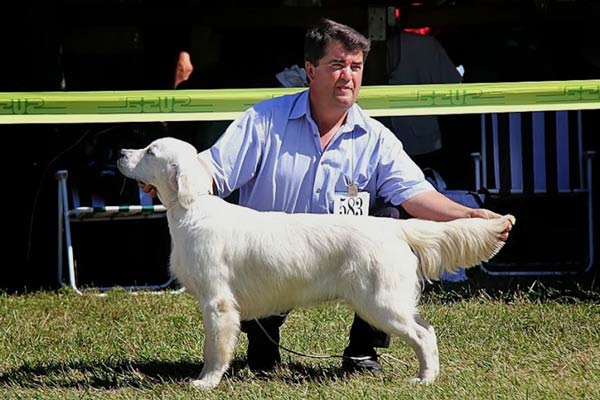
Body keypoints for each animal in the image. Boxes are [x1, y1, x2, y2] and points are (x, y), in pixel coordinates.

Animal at [118, 138, 516, 390]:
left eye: (150, 150)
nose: (121, 151)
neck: (192, 210)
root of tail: (395, 228)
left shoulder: (218, 303)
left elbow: (215, 349)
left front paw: (206, 381)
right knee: (426, 329)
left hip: (380, 302)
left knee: (423, 334)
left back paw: (425, 379)